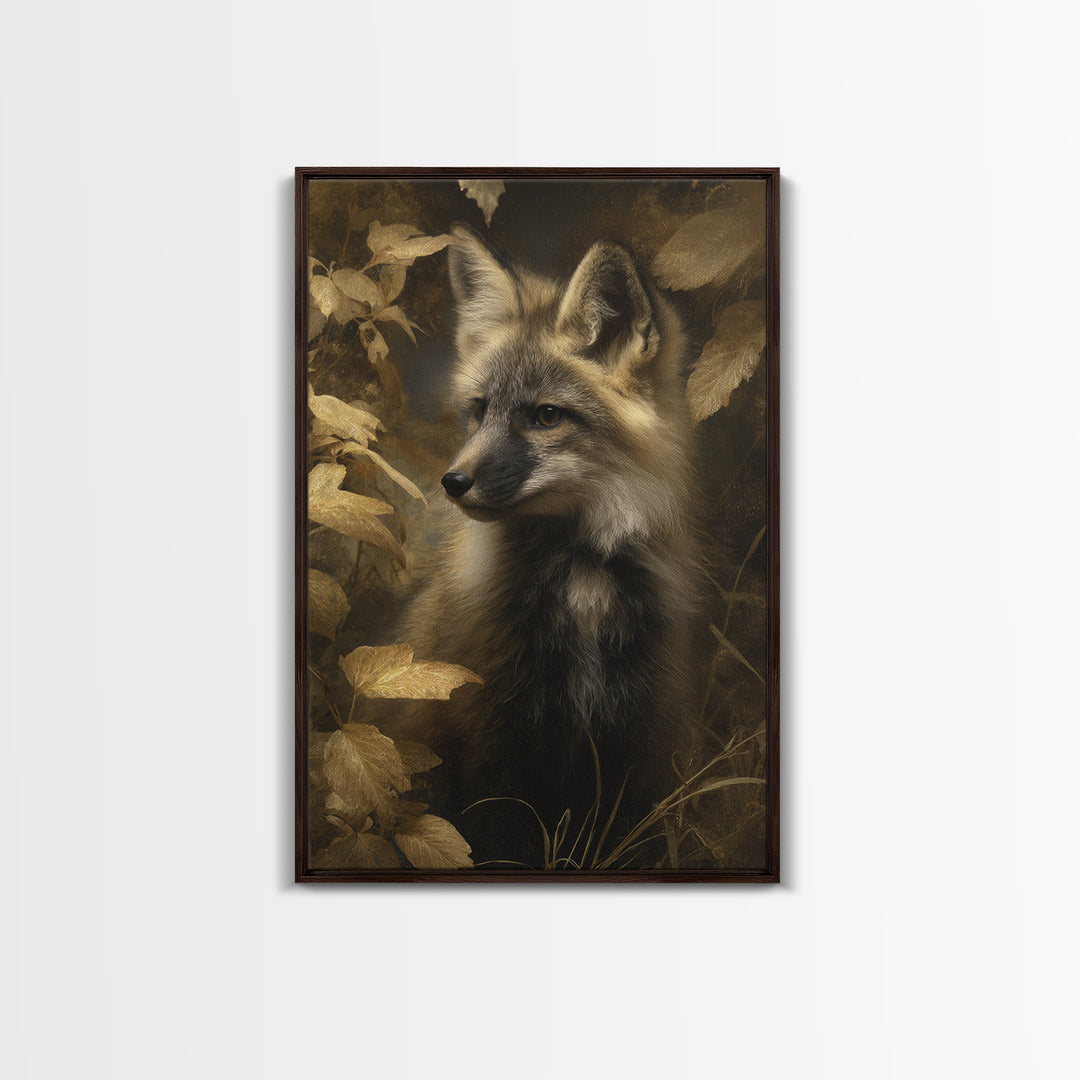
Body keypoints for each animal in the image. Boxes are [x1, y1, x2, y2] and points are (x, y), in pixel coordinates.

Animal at [391, 224, 703, 867]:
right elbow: (498, 842)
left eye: (546, 416)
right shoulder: (490, 731)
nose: (452, 481)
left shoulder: (638, 734)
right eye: (479, 410)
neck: (582, 581)